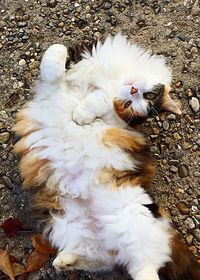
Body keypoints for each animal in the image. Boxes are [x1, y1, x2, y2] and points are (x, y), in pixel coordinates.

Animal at [13, 35, 199, 280]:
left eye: (146, 97)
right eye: (137, 98)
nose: (133, 89)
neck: (115, 79)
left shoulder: (116, 118)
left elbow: (100, 99)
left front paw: (80, 114)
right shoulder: (66, 72)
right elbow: (55, 55)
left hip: (137, 215)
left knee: (145, 266)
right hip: (67, 224)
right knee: (101, 260)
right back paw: (65, 262)